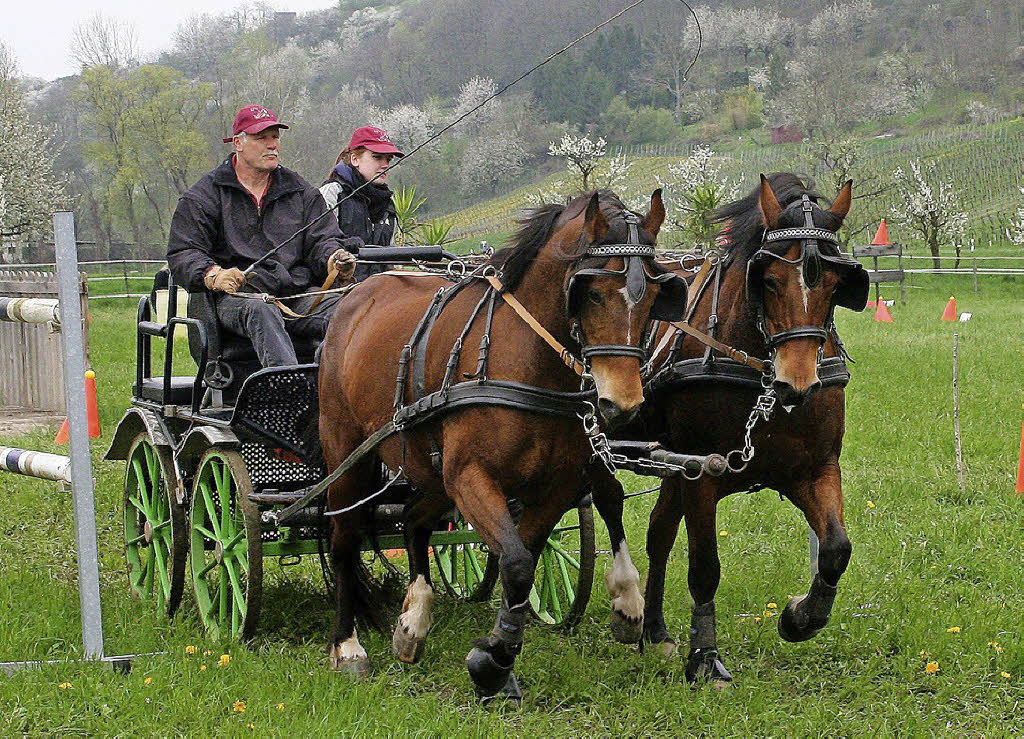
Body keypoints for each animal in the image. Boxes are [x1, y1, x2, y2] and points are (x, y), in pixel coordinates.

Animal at [315, 188, 684, 696]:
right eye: (591, 292)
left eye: (652, 298)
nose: (622, 403)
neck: (525, 364)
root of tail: (355, 294)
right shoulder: (473, 478)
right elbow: (516, 564)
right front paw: (493, 661)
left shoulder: (555, 486)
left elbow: (522, 560)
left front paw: (497, 655)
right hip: (349, 455)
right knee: (345, 539)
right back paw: (346, 644)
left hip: (432, 469)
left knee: (414, 519)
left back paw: (414, 620)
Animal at [589, 172, 868, 679]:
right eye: (769, 280)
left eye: (838, 284)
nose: (797, 383)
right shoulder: (703, 474)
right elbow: (704, 568)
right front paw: (705, 658)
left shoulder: (814, 468)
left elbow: (836, 550)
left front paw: (800, 617)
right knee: (608, 501)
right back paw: (627, 609)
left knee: (658, 534)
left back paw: (655, 632)